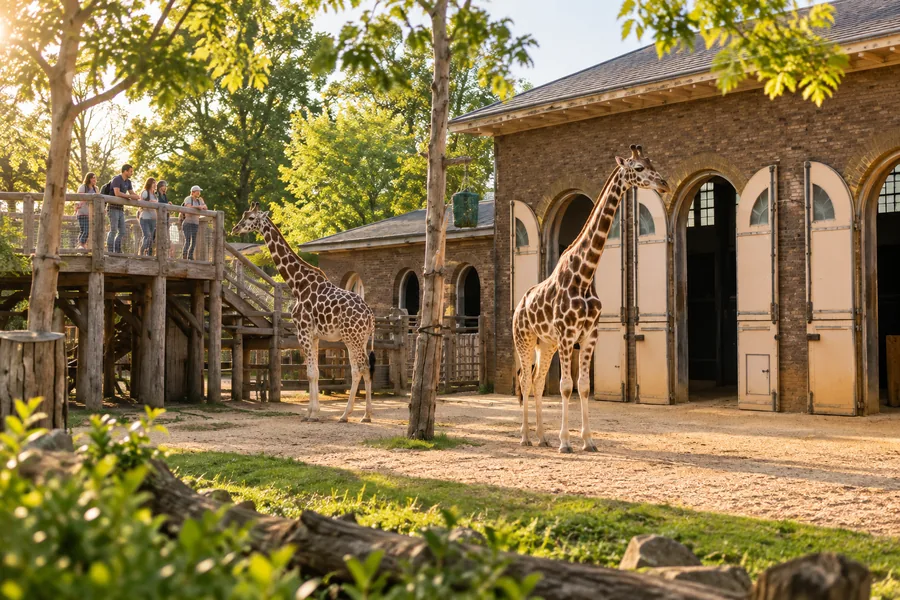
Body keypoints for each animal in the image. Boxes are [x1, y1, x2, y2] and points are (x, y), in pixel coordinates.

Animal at [232, 203, 376, 423]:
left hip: (352, 338)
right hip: (361, 338)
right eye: (244, 215)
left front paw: (312, 414)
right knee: (362, 368)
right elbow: (314, 371)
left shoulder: (304, 331)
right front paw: (311, 411)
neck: (298, 284)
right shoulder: (314, 336)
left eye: (250, 218)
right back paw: (363, 415)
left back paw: (348, 414)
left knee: (360, 368)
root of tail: (370, 315)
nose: (235, 228)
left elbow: (311, 373)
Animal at [513, 145, 669, 453]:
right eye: (639, 168)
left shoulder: (588, 336)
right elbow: (565, 386)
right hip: (524, 340)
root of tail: (517, 307)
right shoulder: (566, 336)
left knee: (537, 381)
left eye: (652, 163)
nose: (664, 184)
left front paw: (588, 441)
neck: (584, 275)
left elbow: (583, 386)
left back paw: (542, 437)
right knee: (524, 380)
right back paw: (525, 436)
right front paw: (566, 442)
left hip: (545, 344)